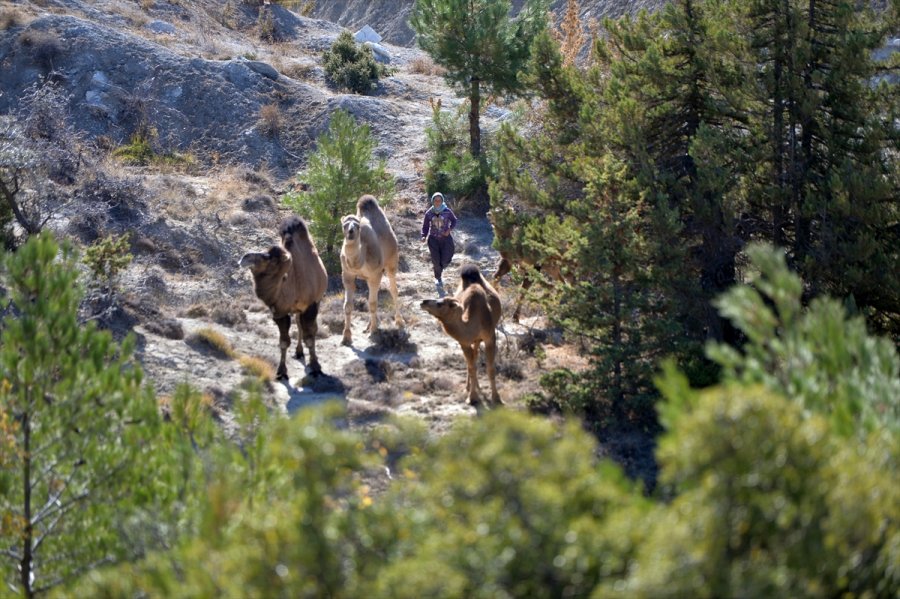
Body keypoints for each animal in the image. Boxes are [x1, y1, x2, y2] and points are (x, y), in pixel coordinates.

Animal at [239, 216, 326, 380]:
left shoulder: (311, 306)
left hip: (315, 302)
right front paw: (281, 372)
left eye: (270, 258)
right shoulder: (279, 311)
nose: (244, 258)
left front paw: (316, 367)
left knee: (311, 328)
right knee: (299, 324)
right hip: (298, 309)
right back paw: (299, 352)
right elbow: (284, 342)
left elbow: (310, 337)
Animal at [340, 196, 402, 344]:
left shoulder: (375, 274)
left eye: (357, 226)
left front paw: (373, 332)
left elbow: (373, 303)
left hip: (391, 262)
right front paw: (346, 337)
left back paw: (399, 321)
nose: (351, 232)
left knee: (393, 290)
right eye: (344, 225)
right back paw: (368, 326)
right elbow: (348, 305)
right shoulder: (347, 275)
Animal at [420, 264, 502, 408]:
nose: (423, 302)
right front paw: (472, 397)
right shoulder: (464, 342)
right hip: (472, 341)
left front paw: (496, 398)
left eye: (440, 304)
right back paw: (469, 387)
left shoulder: (490, 337)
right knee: (471, 362)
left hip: (478, 339)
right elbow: (472, 367)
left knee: (475, 356)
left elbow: (490, 368)